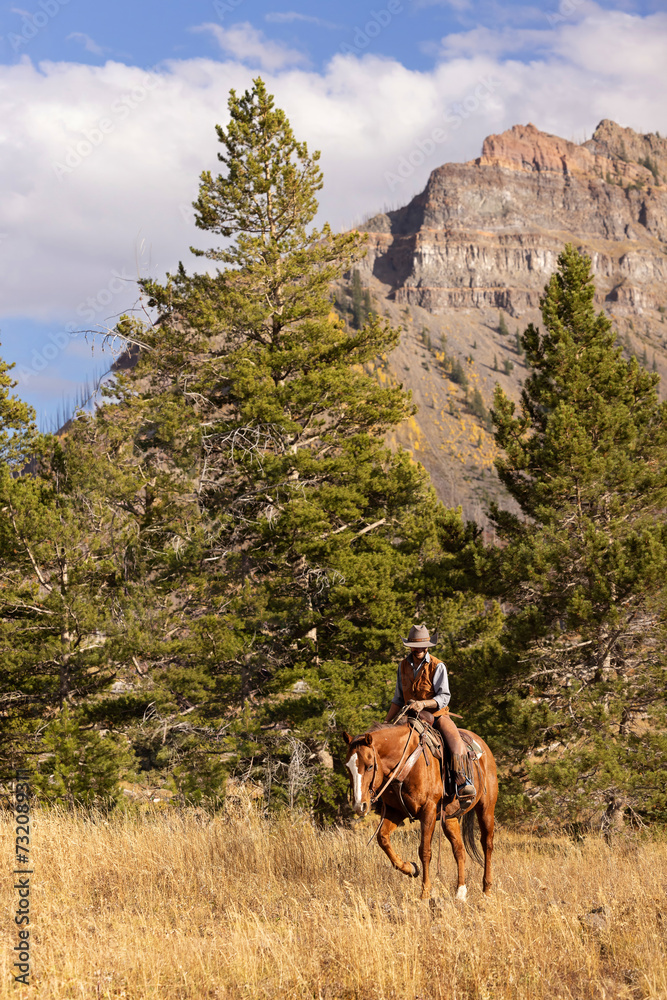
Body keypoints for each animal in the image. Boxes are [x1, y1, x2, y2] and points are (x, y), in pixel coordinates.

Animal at [343, 719, 498, 900]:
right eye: (348, 767)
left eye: (369, 766)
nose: (359, 806)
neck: (407, 762)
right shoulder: (395, 812)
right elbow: (383, 839)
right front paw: (410, 868)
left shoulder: (428, 811)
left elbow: (425, 851)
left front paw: (424, 893)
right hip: (449, 817)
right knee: (459, 850)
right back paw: (460, 892)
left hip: (486, 809)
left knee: (487, 844)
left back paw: (487, 890)